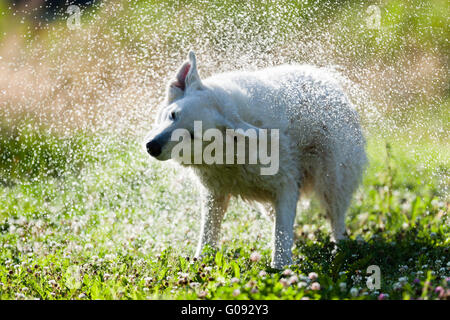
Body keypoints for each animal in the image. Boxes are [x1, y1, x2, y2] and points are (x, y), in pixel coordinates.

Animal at [147, 51, 366, 268]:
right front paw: (201, 261)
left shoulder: (286, 184)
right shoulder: (215, 192)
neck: (231, 151)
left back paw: (341, 248)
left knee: (336, 216)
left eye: (192, 135)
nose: (152, 146)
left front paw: (280, 268)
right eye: (173, 115)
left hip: (333, 178)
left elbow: (281, 232)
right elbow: (209, 230)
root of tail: (328, 80)